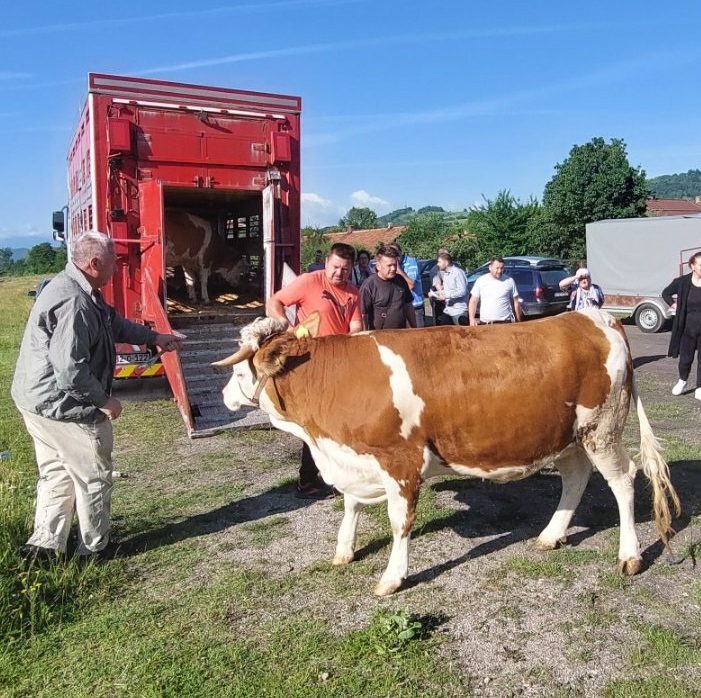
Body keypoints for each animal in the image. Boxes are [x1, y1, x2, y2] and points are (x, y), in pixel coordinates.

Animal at [213, 308, 680, 592]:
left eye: (240, 371)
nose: (222, 396)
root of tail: (594, 316)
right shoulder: (356, 459)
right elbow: (350, 505)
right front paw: (344, 551)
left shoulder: (400, 460)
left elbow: (400, 523)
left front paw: (392, 578)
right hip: (567, 435)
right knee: (576, 478)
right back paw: (551, 535)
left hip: (603, 428)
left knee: (623, 481)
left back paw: (629, 556)